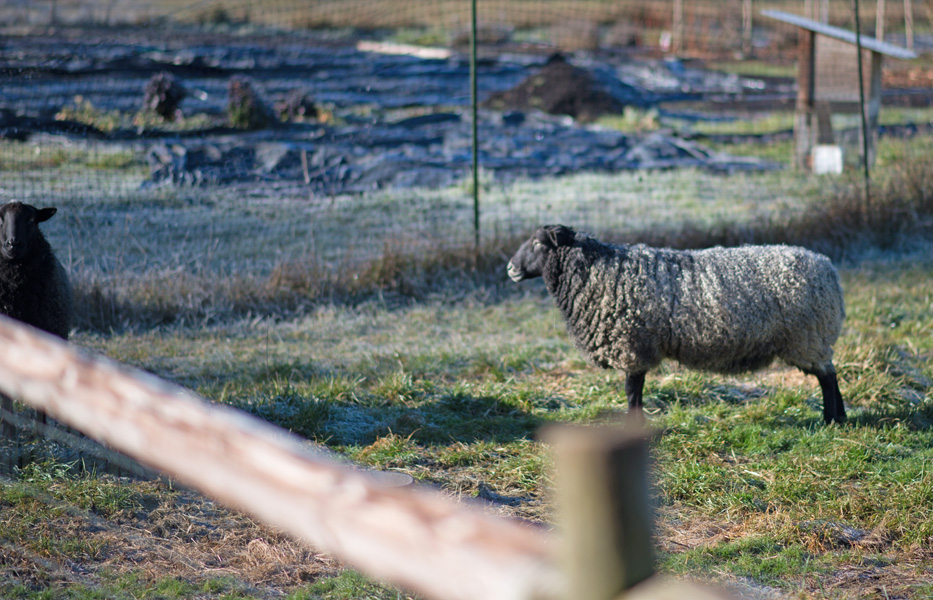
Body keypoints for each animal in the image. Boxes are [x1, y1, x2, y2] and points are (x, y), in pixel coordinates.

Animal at [506, 223, 848, 424]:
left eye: (538, 244)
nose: (510, 268)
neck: (598, 272)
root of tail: (827, 268)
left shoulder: (631, 344)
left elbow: (632, 391)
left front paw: (634, 425)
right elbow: (635, 390)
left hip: (808, 337)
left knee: (827, 378)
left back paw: (830, 420)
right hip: (813, 339)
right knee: (830, 374)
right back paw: (841, 419)